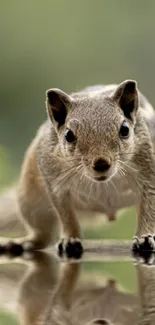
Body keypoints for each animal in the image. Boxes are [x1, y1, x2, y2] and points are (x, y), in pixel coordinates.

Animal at [0, 79, 155, 253]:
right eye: (68, 135)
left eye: (125, 129)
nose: (101, 163)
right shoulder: (56, 184)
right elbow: (66, 215)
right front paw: (70, 238)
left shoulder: (148, 174)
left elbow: (148, 208)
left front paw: (144, 237)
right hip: (31, 203)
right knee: (42, 236)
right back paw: (20, 243)